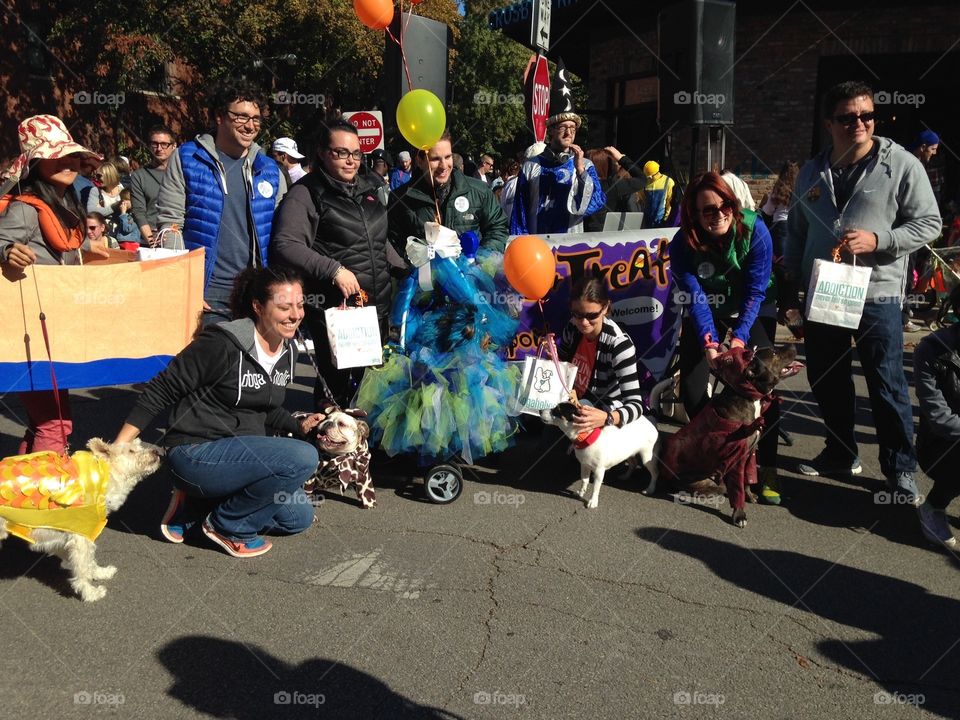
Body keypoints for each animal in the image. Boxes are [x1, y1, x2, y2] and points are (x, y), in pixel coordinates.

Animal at [0, 438, 162, 600]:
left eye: (139, 445)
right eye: (131, 451)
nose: (156, 451)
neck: (103, 479)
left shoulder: (63, 538)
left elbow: (89, 561)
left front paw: (100, 572)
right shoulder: (81, 538)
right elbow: (83, 567)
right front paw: (90, 593)